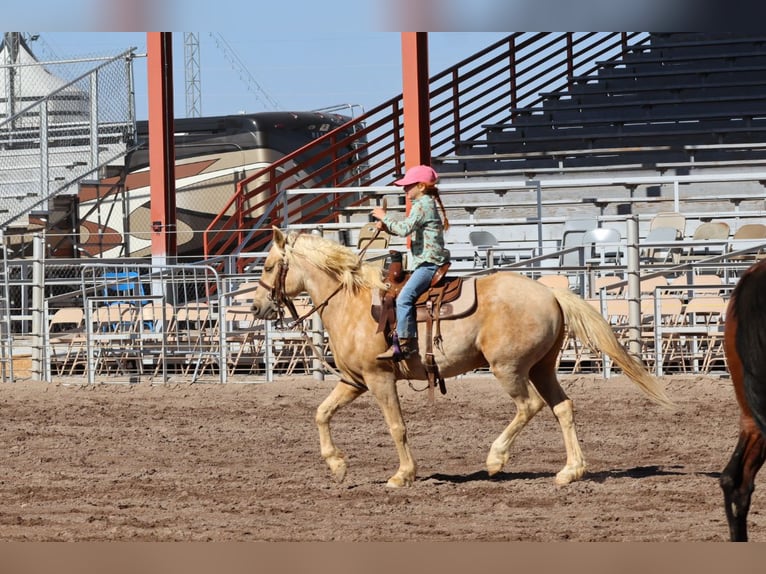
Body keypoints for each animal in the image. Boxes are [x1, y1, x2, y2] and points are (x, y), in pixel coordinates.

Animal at [250, 228, 673, 488]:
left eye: (268, 265)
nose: (256, 307)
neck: (351, 301)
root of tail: (550, 293)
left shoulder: (379, 378)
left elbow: (396, 427)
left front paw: (402, 475)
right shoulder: (353, 380)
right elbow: (321, 413)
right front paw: (337, 466)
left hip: (509, 368)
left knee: (529, 406)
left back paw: (496, 459)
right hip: (542, 367)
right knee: (562, 408)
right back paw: (571, 471)